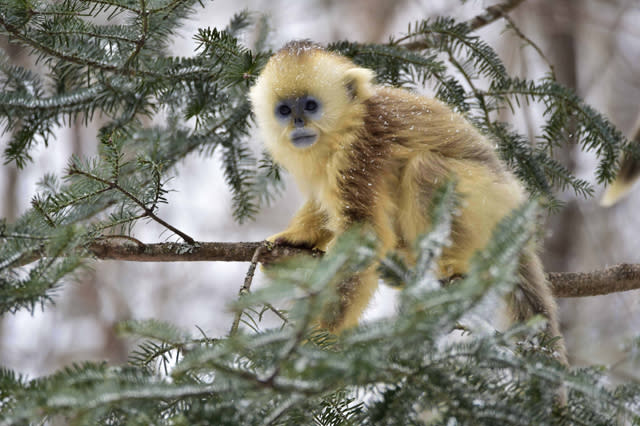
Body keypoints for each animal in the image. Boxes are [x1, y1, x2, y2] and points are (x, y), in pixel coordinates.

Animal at [249, 40, 564, 362]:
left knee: (425, 168)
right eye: (285, 110)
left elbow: (364, 238)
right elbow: (324, 205)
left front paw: (318, 338)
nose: (298, 122)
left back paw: (448, 270)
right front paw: (296, 238)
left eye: (310, 106)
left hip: (489, 198)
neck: (346, 127)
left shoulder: (358, 153)